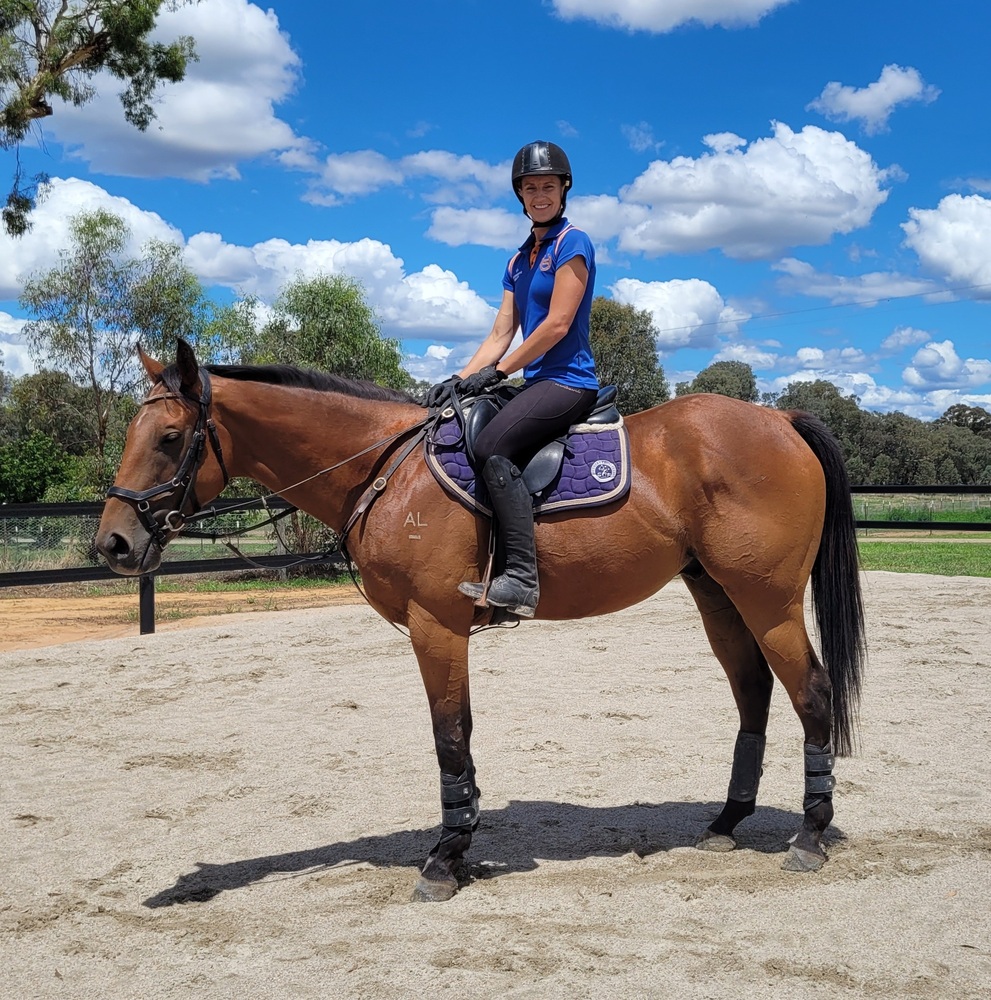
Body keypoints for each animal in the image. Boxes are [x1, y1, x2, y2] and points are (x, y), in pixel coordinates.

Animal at [96, 340, 866, 902]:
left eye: (170, 437)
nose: (114, 545)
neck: (387, 470)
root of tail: (779, 420)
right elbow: (458, 734)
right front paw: (458, 845)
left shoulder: (434, 623)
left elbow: (448, 736)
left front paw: (445, 858)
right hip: (717, 593)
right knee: (754, 693)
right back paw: (727, 821)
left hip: (765, 597)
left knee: (812, 693)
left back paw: (808, 835)